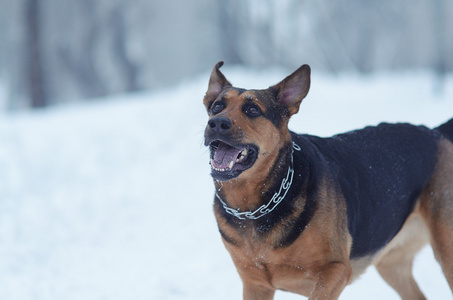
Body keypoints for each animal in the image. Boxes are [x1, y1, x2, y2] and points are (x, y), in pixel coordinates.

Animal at [203, 61, 452, 300]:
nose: (217, 123)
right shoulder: (256, 285)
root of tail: (436, 134)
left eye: (253, 109)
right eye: (217, 107)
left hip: (445, 249)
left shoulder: (334, 271)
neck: (254, 208)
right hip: (392, 264)